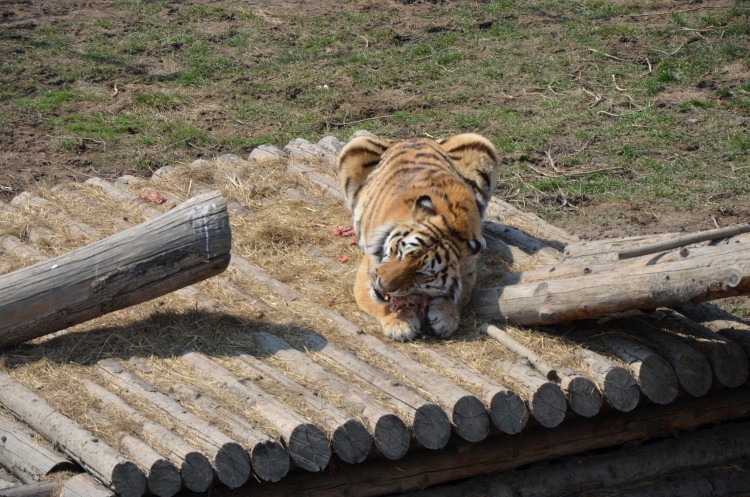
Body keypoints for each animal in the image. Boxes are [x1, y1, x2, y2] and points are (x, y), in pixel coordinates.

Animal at [340, 132, 502, 340]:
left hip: (481, 144)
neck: (451, 224)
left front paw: (446, 318)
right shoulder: (368, 271)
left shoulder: (468, 271)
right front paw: (400, 323)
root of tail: (411, 138)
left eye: (422, 274)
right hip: (355, 145)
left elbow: (459, 295)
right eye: (399, 253)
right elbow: (380, 302)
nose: (383, 285)